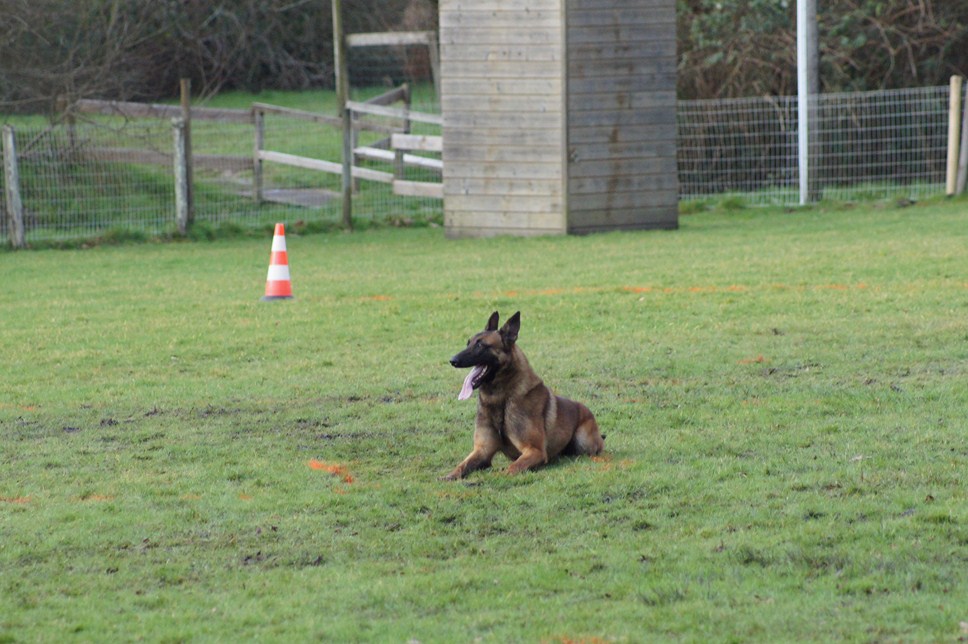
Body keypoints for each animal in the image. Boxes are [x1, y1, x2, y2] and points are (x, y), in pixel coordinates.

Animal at [446, 312, 604, 478]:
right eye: (468, 343)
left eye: (480, 345)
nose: (452, 360)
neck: (500, 399)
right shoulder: (482, 451)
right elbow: (461, 466)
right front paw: (449, 476)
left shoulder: (535, 451)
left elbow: (510, 469)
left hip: (583, 443)